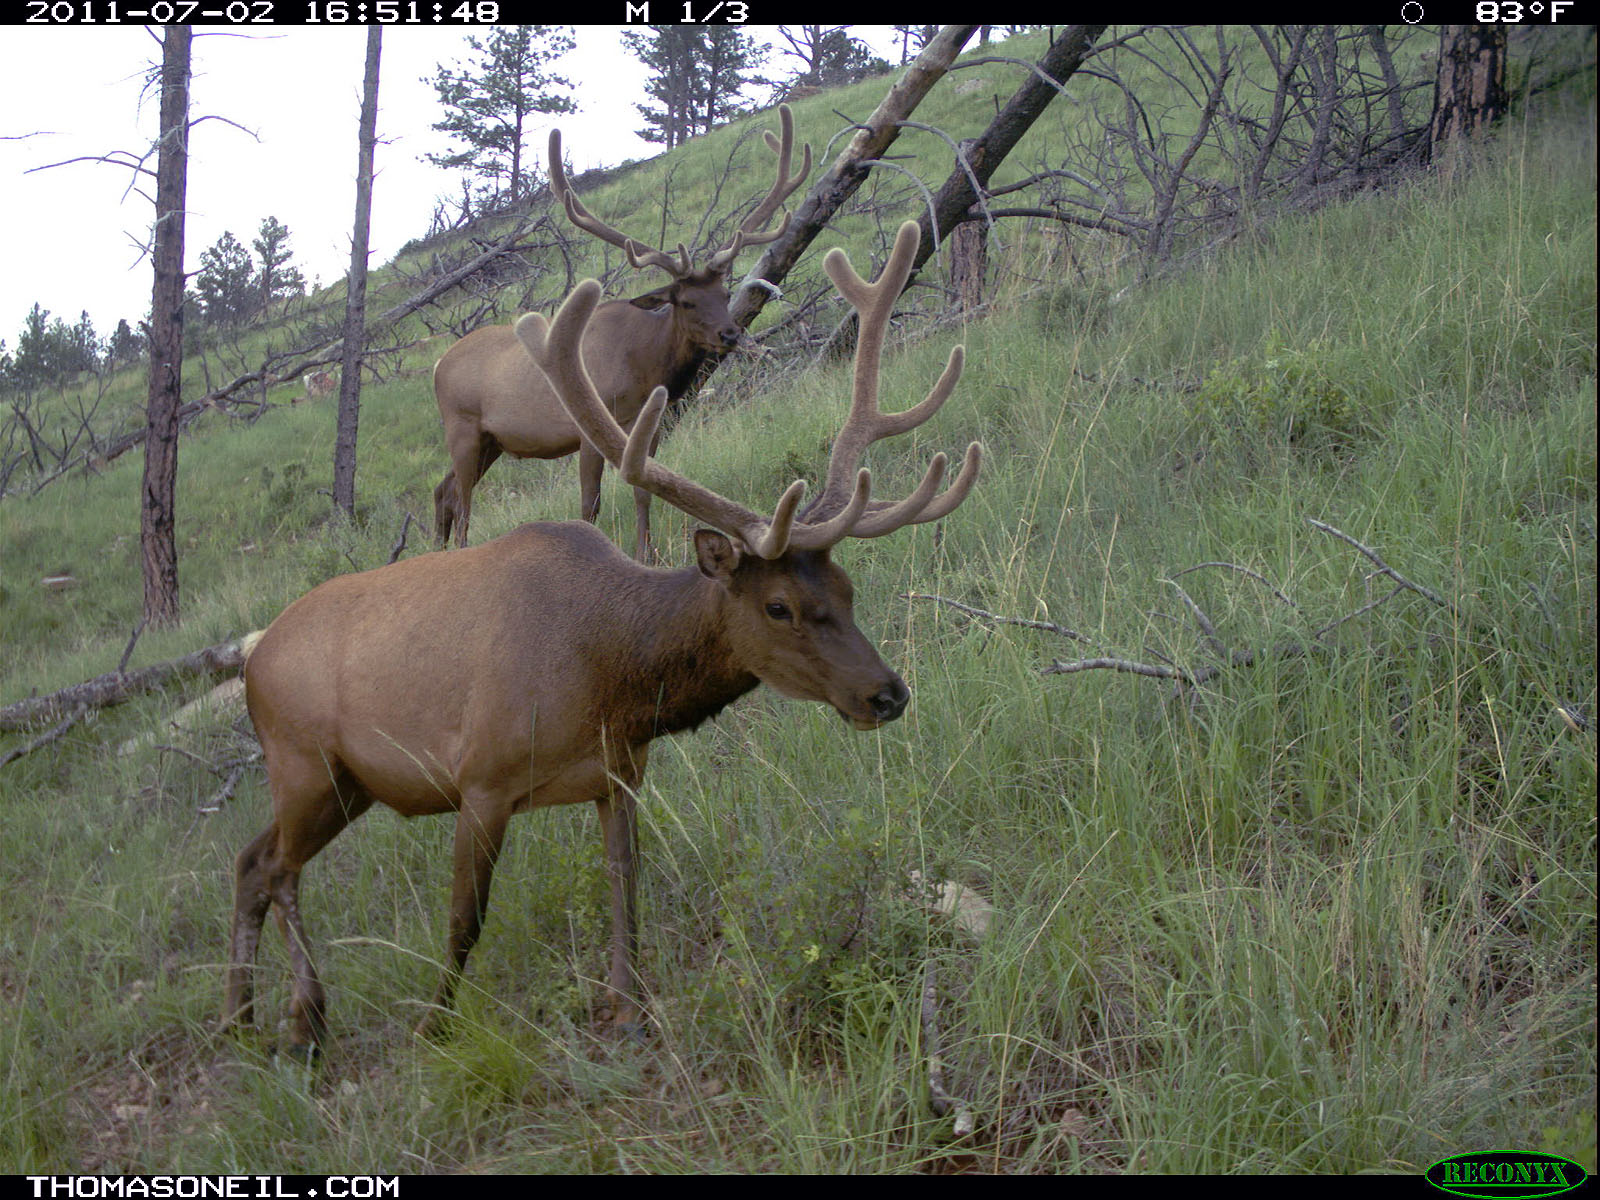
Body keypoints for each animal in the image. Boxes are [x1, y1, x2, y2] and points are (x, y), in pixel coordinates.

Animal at [225, 221, 979, 1055]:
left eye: (845, 588)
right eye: (778, 605)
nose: (887, 693)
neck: (610, 679)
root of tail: (249, 659)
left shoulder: (619, 774)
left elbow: (627, 889)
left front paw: (628, 1008)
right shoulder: (482, 779)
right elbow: (464, 921)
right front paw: (435, 1025)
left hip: (346, 785)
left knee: (250, 861)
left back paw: (240, 1018)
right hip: (305, 764)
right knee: (277, 867)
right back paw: (305, 1012)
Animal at [431, 105, 812, 559]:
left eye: (723, 292)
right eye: (685, 301)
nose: (731, 334)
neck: (644, 368)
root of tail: (438, 364)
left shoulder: (649, 426)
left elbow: (643, 491)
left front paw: (646, 552)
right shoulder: (589, 428)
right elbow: (589, 503)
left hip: (492, 440)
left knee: (443, 491)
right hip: (462, 426)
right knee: (463, 500)